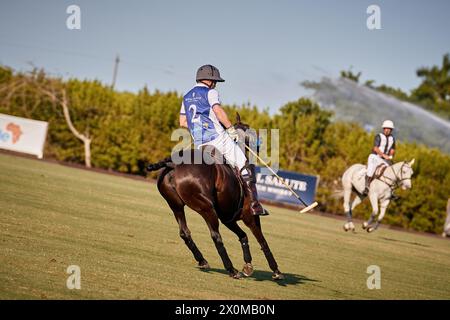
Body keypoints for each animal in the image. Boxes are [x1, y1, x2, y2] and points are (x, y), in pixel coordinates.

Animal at [146, 118, 284, 280]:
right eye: (250, 130)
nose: (258, 145)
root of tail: (173, 164)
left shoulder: (227, 217)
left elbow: (243, 236)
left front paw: (248, 266)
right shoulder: (249, 216)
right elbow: (262, 240)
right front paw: (276, 270)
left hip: (175, 205)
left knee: (184, 232)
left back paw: (203, 261)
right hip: (206, 207)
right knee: (215, 236)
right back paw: (231, 270)